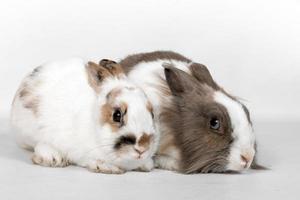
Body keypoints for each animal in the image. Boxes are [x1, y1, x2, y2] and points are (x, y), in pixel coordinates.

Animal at [10, 57, 158, 173]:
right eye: (117, 115)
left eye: (152, 114)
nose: (143, 148)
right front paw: (106, 167)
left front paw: (146, 165)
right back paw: (54, 159)